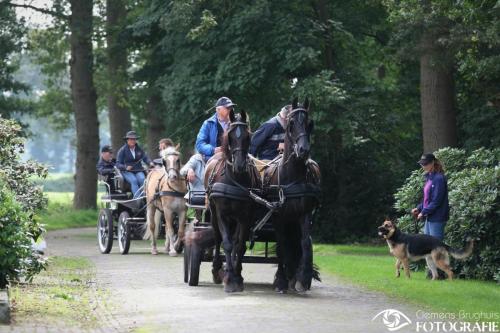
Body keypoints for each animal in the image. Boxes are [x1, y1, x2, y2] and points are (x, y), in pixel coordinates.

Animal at [204, 109, 260, 290]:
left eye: (248, 136)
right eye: (230, 136)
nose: (239, 165)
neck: (235, 178)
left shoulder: (246, 217)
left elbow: (239, 245)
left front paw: (237, 276)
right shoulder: (221, 214)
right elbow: (227, 243)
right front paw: (229, 279)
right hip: (214, 215)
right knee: (217, 238)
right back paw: (217, 269)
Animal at [266, 97, 320, 292]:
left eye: (309, 123)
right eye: (291, 123)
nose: (303, 150)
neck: (293, 177)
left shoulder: (304, 214)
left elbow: (305, 243)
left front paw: (303, 278)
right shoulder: (278, 217)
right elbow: (281, 246)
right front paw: (281, 280)